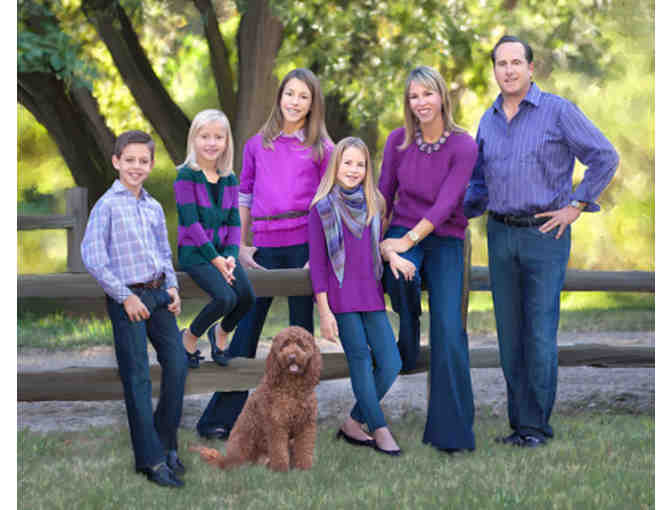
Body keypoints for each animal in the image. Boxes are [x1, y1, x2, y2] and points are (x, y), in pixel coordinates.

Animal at [193, 326, 322, 472]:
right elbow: (279, 450)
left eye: (300, 344)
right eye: (284, 345)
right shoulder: (276, 424)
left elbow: (304, 448)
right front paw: (281, 470)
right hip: (244, 440)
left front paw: (304, 469)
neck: (292, 388)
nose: (292, 357)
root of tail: (224, 460)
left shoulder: (306, 424)